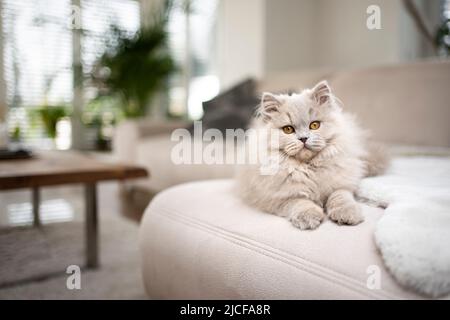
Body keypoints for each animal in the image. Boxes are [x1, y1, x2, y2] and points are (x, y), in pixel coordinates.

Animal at [237, 80, 388, 230]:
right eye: (288, 129)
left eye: (314, 125)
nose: (303, 138)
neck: (309, 168)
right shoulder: (277, 198)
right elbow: (300, 202)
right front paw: (308, 217)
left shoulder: (342, 184)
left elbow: (340, 196)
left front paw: (347, 214)